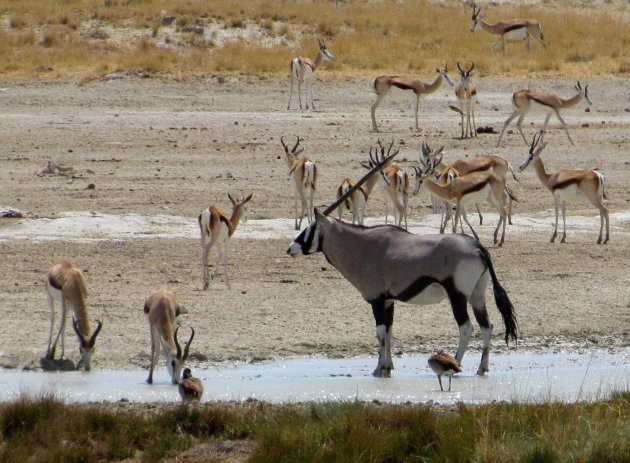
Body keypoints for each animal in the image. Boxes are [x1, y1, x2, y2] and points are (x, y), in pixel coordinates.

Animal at [288, 149, 520, 376]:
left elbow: (380, 332)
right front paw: (388, 366)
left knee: (466, 328)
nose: (291, 248)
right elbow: (389, 332)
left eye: (310, 228)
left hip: (457, 295)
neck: (362, 244)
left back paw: (456, 364)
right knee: (486, 326)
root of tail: (477, 247)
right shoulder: (389, 300)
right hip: (477, 294)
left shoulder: (377, 299)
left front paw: (379, 369)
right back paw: (482, 368)